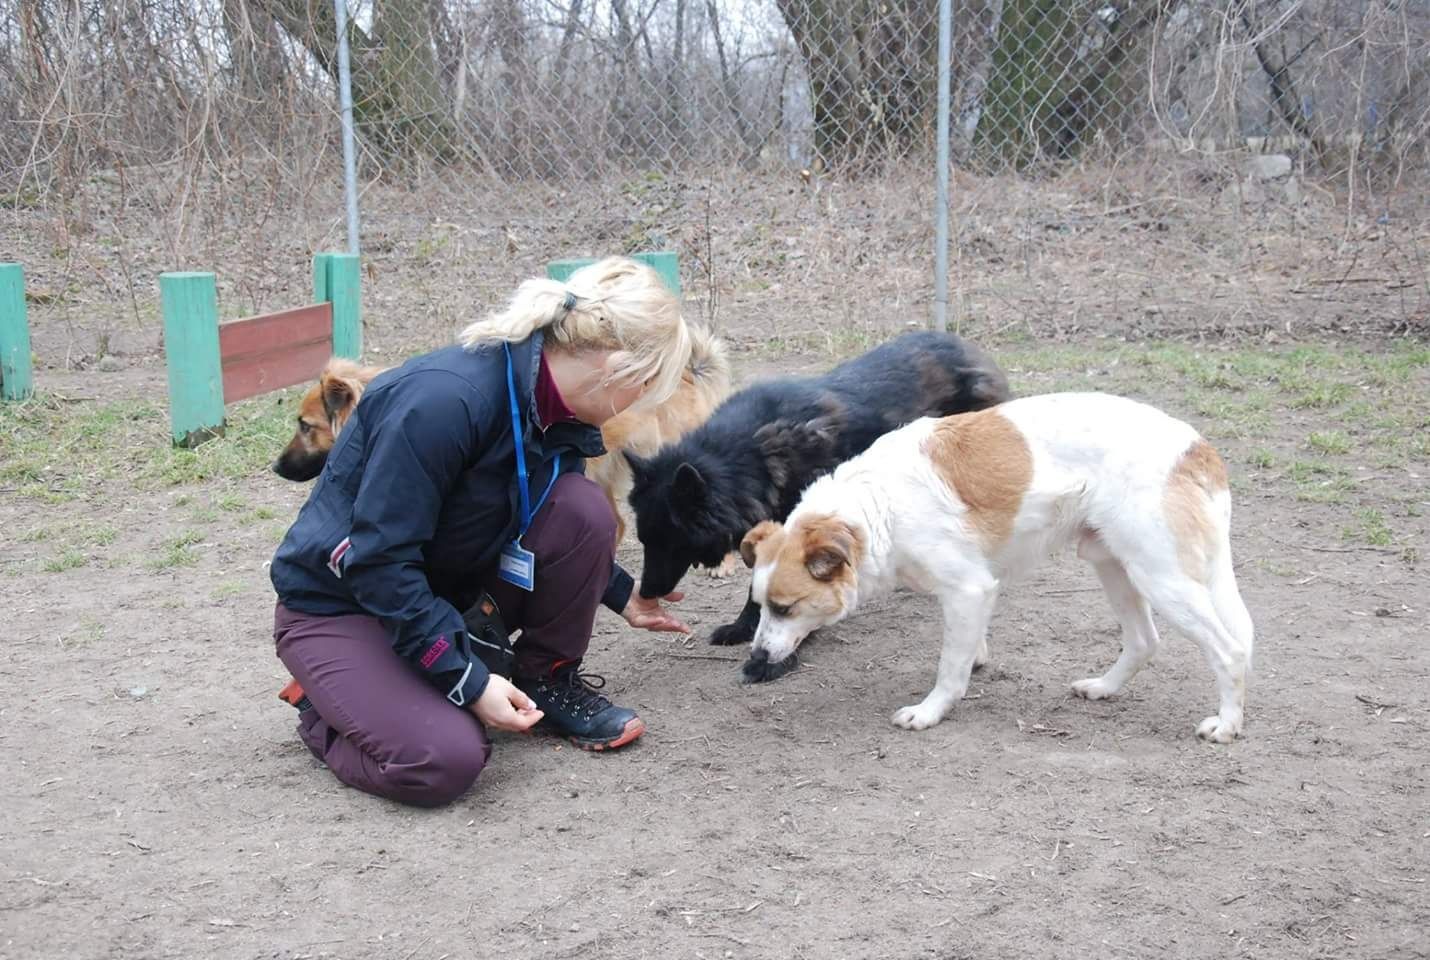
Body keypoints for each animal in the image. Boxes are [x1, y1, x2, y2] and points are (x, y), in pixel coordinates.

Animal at [737, 389, 1252, 743]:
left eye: (785, 608)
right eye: (760, 606)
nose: (754, 660)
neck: (877, 507)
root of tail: (1199, 447)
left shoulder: (969, 589)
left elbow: (949, 668)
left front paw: (930, 711)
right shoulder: (975, 591)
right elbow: (967, 646)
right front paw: (977, 658)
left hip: (1161, 578)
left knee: (1230, 651)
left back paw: (1226, 725)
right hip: (1114, 565)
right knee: (1145, 641)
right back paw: (1104, 688)